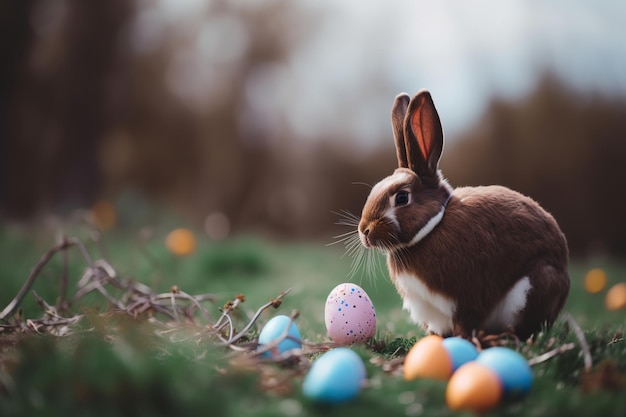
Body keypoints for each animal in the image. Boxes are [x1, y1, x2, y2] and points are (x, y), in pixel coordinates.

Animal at [354, 90, 568, 338]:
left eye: (401, 198)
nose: (364, 231)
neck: (432, 227)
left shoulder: (465, 300)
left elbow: (465, 323)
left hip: (537, 283)